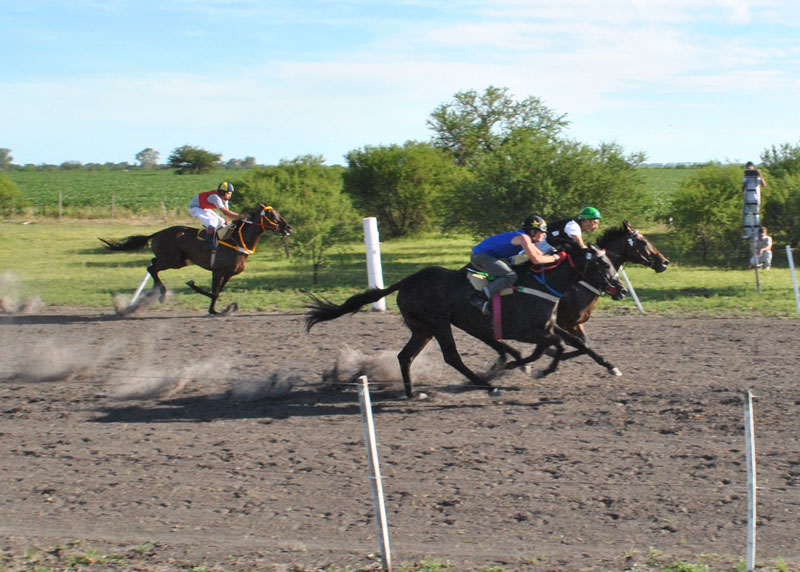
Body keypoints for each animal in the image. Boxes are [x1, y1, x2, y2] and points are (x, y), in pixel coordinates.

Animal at [99, 204, 291, 314]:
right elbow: (214, 292)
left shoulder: (228, 274)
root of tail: (158, 233)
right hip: (172, 259)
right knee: (152, 268)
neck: (237, 240)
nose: (288, 227)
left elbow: (217, 292)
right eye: (271, 215)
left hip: (179, 261)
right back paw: (162, 293)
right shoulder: (218, 271)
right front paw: (215, 306)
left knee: (153, 265)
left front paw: (217, 309)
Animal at [306, 240, 625, 398]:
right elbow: (555, 347)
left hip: (423, 328)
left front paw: (611, 367)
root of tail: (406, 281)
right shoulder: (528, 331)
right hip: (438, 324)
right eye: (601, 264)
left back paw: (411, 393)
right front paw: (530, 369)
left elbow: (579, 344)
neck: (543, 282)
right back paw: (488, 386)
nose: (621, 289)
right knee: (452, 357)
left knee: (405, 356)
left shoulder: (549, 326)